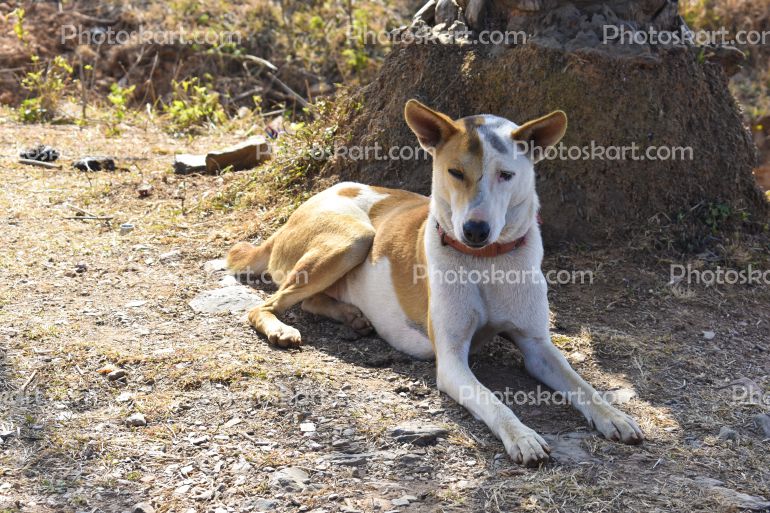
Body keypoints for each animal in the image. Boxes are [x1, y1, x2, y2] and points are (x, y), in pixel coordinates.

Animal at [226, 100, 640, 464]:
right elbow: (494, 402)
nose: (475, 230)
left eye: (506, 175)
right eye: (455, 172)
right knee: (266, 305)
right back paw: (281, 329)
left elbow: (582, 384)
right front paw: (522, 436)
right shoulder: (453, 360)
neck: (487, 263)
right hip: (354, 238)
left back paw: (351, 315)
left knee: (309, 299)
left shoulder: (538, 346)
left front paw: (614, 416)